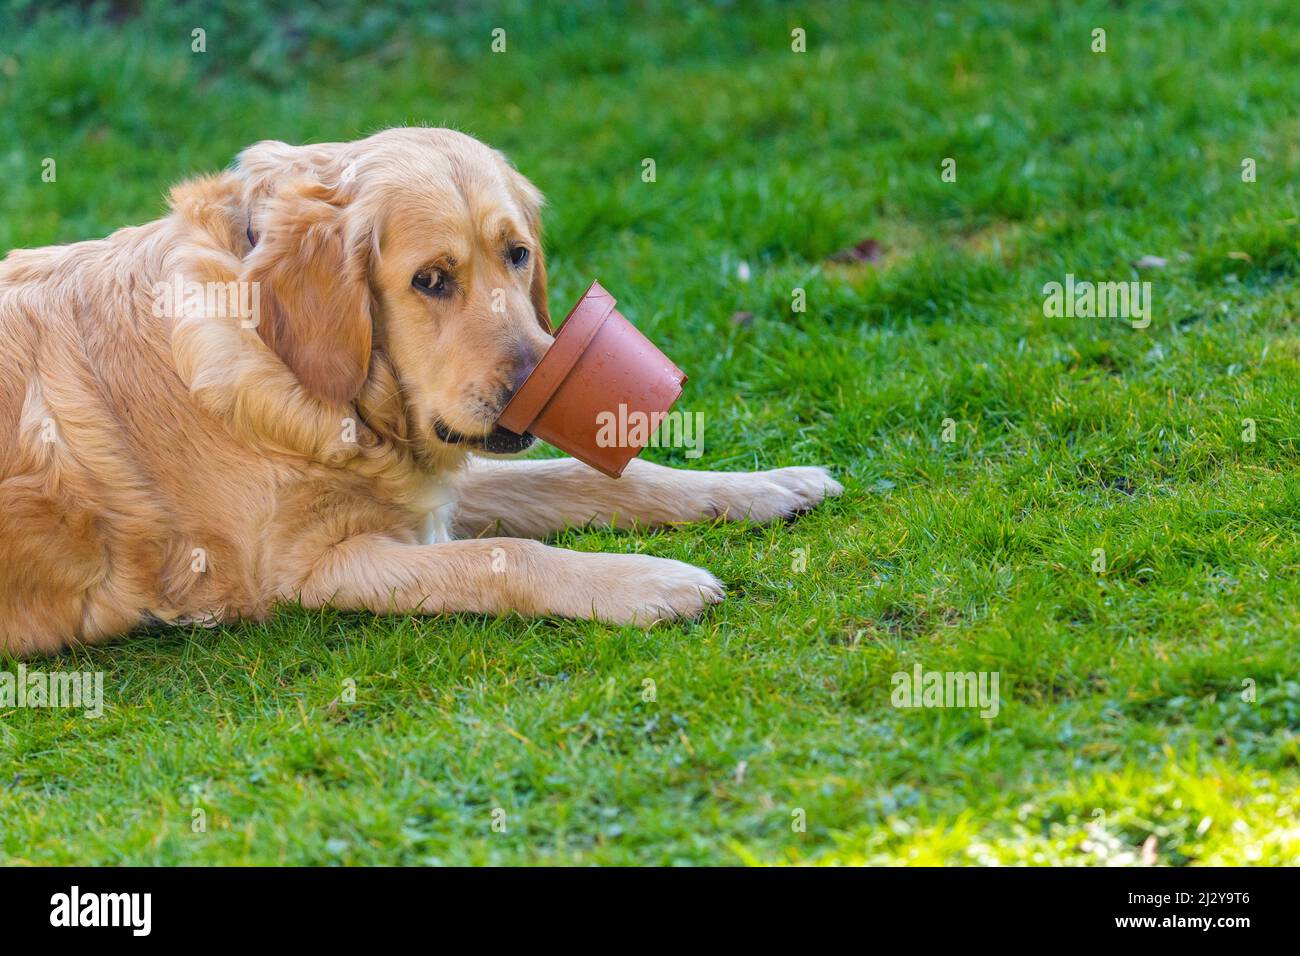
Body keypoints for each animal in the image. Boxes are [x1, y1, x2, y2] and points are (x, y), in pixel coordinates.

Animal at [0, 125, 842, 658]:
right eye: (431, 280)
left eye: (517, 254)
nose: (536, 381)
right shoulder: (313, 566)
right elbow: (508, 555)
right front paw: (647, 582)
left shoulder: (427, 489)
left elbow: (589, 477)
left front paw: (765, 485)